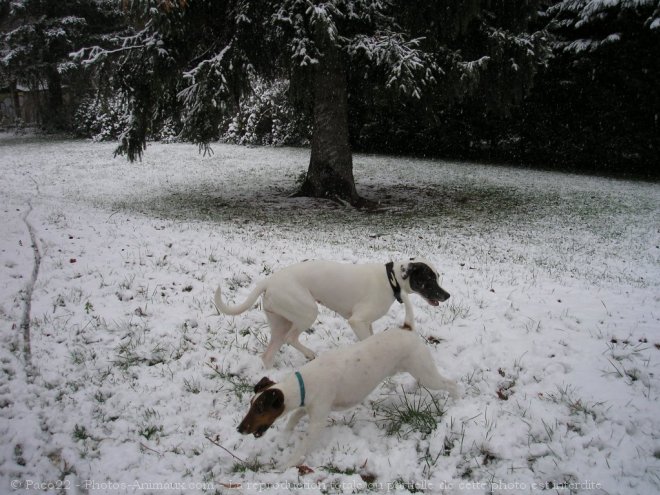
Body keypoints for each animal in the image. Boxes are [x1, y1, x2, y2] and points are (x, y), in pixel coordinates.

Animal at [214, 260, 452, 368]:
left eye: (437, 277)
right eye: (429, 279)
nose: (447, 295)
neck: (391, 278)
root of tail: (269, 281)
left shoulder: (366, 323)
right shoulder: (357, 321)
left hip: (280, 323)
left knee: (268, 354)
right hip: (306, 311)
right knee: (292, 337)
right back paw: (309, 354)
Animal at [237, 330, 458, 468]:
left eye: (259, 409)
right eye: (251, 405)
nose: (239, 429)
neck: (303, 383)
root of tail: (408, 330)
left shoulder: (317, 421)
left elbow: (302, 446)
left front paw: (286, 464)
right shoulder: (306, 406)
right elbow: (292, 418)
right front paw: (284, 437)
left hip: (426, 374)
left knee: (451, 384)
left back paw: (456, 401)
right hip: (416, 371)